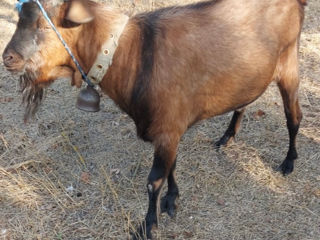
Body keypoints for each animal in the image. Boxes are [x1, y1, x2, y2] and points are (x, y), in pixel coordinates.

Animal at [3, 0, 308, 238]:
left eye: (43, 27)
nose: (8, 58)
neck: (135, 54)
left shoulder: (167, 129)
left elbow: (154, 181)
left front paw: (148, 227)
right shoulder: (169, 129)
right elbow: (171, 166)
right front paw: (171, 201)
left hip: (289, 66)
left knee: (293, 117)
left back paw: (289, 161)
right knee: (245, 103)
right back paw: (226, 137)